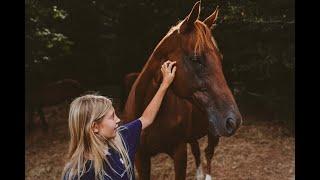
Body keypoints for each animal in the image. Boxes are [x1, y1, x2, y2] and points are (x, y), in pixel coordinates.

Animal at [121, 1, 241, 180]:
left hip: (213, 133)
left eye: (220, 59)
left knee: (208, 153)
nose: (234, 120)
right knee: (197, 150)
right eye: (196, 59)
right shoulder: (140, 158)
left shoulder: (179, 153)